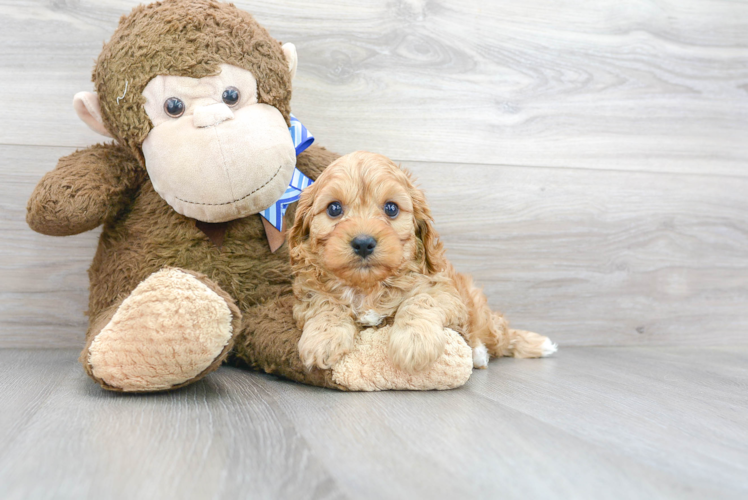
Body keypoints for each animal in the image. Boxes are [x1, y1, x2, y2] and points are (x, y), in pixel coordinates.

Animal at [286, 150, 556, 374]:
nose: (363, 243)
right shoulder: (307, 292)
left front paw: (415, 342)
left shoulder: (444, 291)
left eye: (391, 208)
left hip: (479, 310)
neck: (368, 286)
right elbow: (326, 303)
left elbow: (419, 301)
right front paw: (324, 339)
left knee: (500, 334)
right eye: (334, 209)